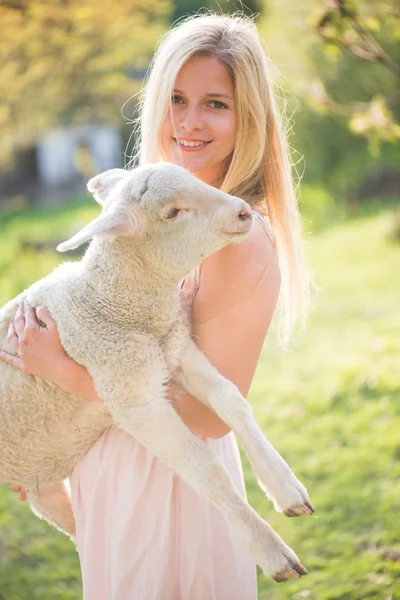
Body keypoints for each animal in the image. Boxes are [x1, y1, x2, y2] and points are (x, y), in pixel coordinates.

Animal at [0, 163, 312, 580]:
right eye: (172, 212)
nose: (244, 212)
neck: (110, 303)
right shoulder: (133, 398)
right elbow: (206, 469)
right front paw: (271, 550)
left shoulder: (177, 350)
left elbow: (231, 399)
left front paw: (286, 489)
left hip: (39, 480)